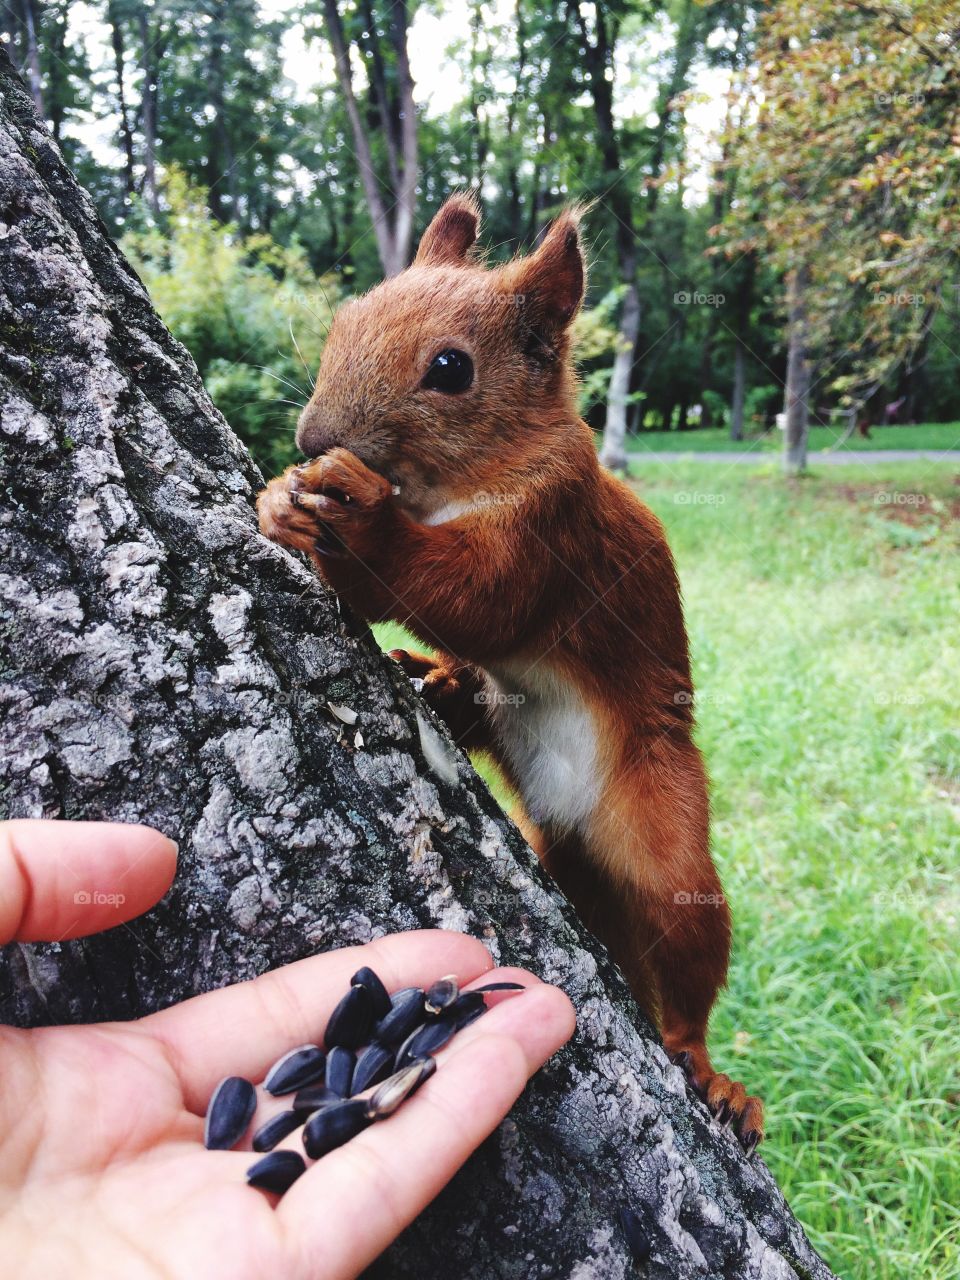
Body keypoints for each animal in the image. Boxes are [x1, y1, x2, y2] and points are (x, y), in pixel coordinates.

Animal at [257, 194, 763, 1153]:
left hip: (666, 830)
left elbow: (475, 599)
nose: (312, 438)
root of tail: (575, 830)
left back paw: (710, 1071)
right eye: (344, 319)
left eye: (451, 369)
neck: (443, 488)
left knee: (687, 952)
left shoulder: (550, 530)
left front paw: (359, 523)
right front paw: (280, 501)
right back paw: (438, 683)